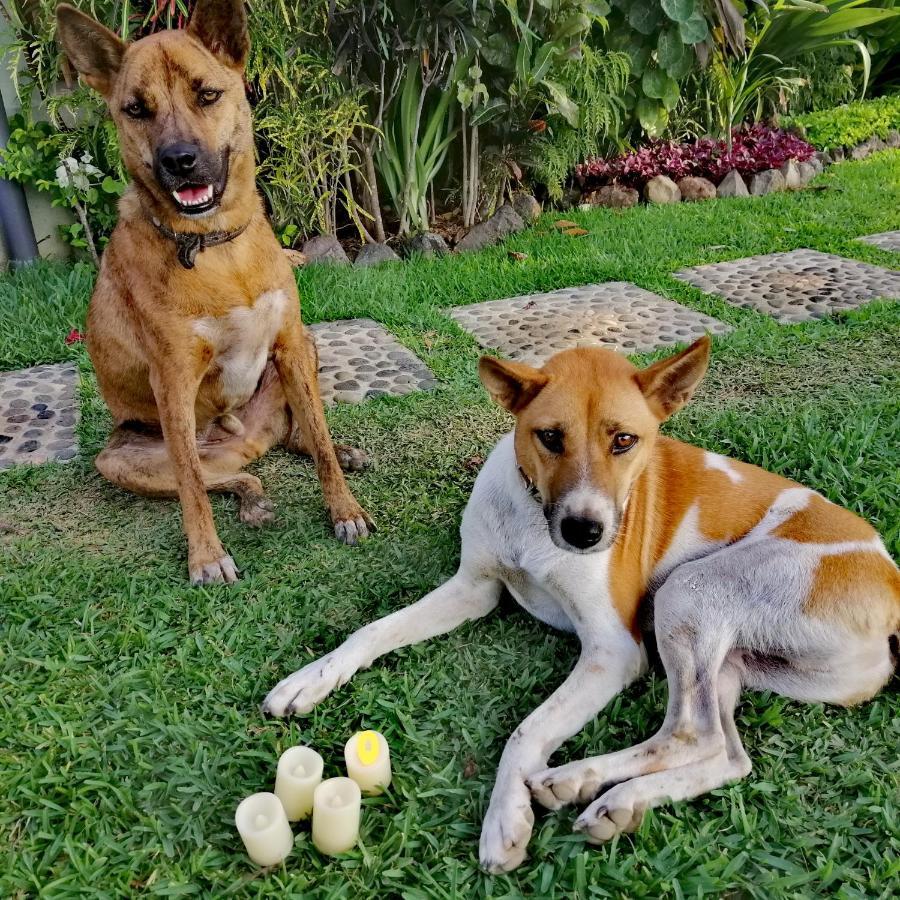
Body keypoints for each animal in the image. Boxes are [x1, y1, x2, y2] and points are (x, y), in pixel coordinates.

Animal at [56, 0, 372, 584]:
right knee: (219, 478)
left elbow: (317, 438)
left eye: (207, 94)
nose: (179, 161)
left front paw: (345, 510)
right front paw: (205, 556)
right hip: (119, 459)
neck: (217, 248)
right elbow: (190, 486)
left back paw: (337, 453)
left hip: (308, 347)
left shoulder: (290, 344)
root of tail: (245, 440)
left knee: (298, 435)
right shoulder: (173, 380)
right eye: (136, 109)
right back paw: (253, 498)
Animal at [264, 338, 896, 872]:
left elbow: (525, 730)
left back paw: (580, 782)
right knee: (725, 752)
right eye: (549, 437)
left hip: (690, 592)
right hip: (729, 656)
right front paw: (309, 680)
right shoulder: (474, 588)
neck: (535, 522)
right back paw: (607, 794)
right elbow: (371, 631)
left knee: (694, 733)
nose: (585, 531)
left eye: (625, 440)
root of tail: (890, 585)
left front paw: (505, 818)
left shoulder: (613, 651)